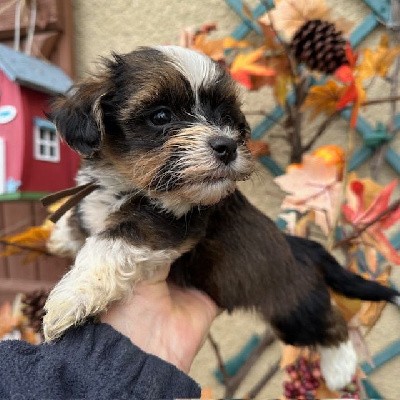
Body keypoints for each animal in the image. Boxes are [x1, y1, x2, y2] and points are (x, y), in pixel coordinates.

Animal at [44, 45, 400, 390]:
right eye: (161, 116)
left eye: (226, 116)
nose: (227, 145)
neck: (126, 184)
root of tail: (300, 246)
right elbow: (84, 216)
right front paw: (63, 235)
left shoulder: (173, 220)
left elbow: (112, 243)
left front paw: (70, 298)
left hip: (294, 308)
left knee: (332, 323)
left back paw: (340, 369)